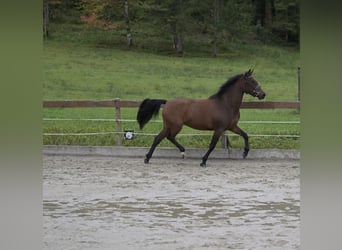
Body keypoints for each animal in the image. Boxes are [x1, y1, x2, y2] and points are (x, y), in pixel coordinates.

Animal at [138, 68, 266, 167]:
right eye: (252, 81)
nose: (263, 94)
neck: (226, 104)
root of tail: (167, 102)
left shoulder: (232, 127)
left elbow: (245, 135)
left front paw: (245, 153)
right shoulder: (219, 129)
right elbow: (212, 145)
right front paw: (203, 161)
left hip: (168, 125)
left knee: (158, 138)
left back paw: (147, 158)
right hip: (176, 126)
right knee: (169, 137)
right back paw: (183, 152)